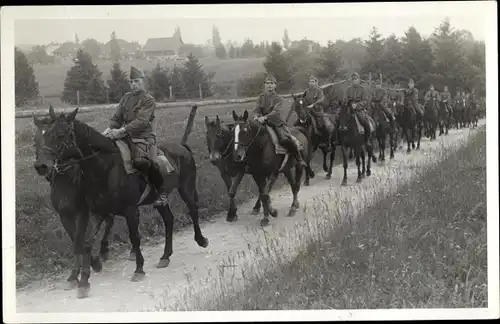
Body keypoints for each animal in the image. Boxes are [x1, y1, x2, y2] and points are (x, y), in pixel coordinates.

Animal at [32, 111, 124, 274]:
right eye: (36, 140)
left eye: (60, 136)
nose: (41, 166)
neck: (67, 181)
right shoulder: (64, 214)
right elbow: (75, 239)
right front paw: (91, 264)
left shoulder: (83, 213)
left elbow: (80, 239)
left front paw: (92, 264)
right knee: (108, 219)